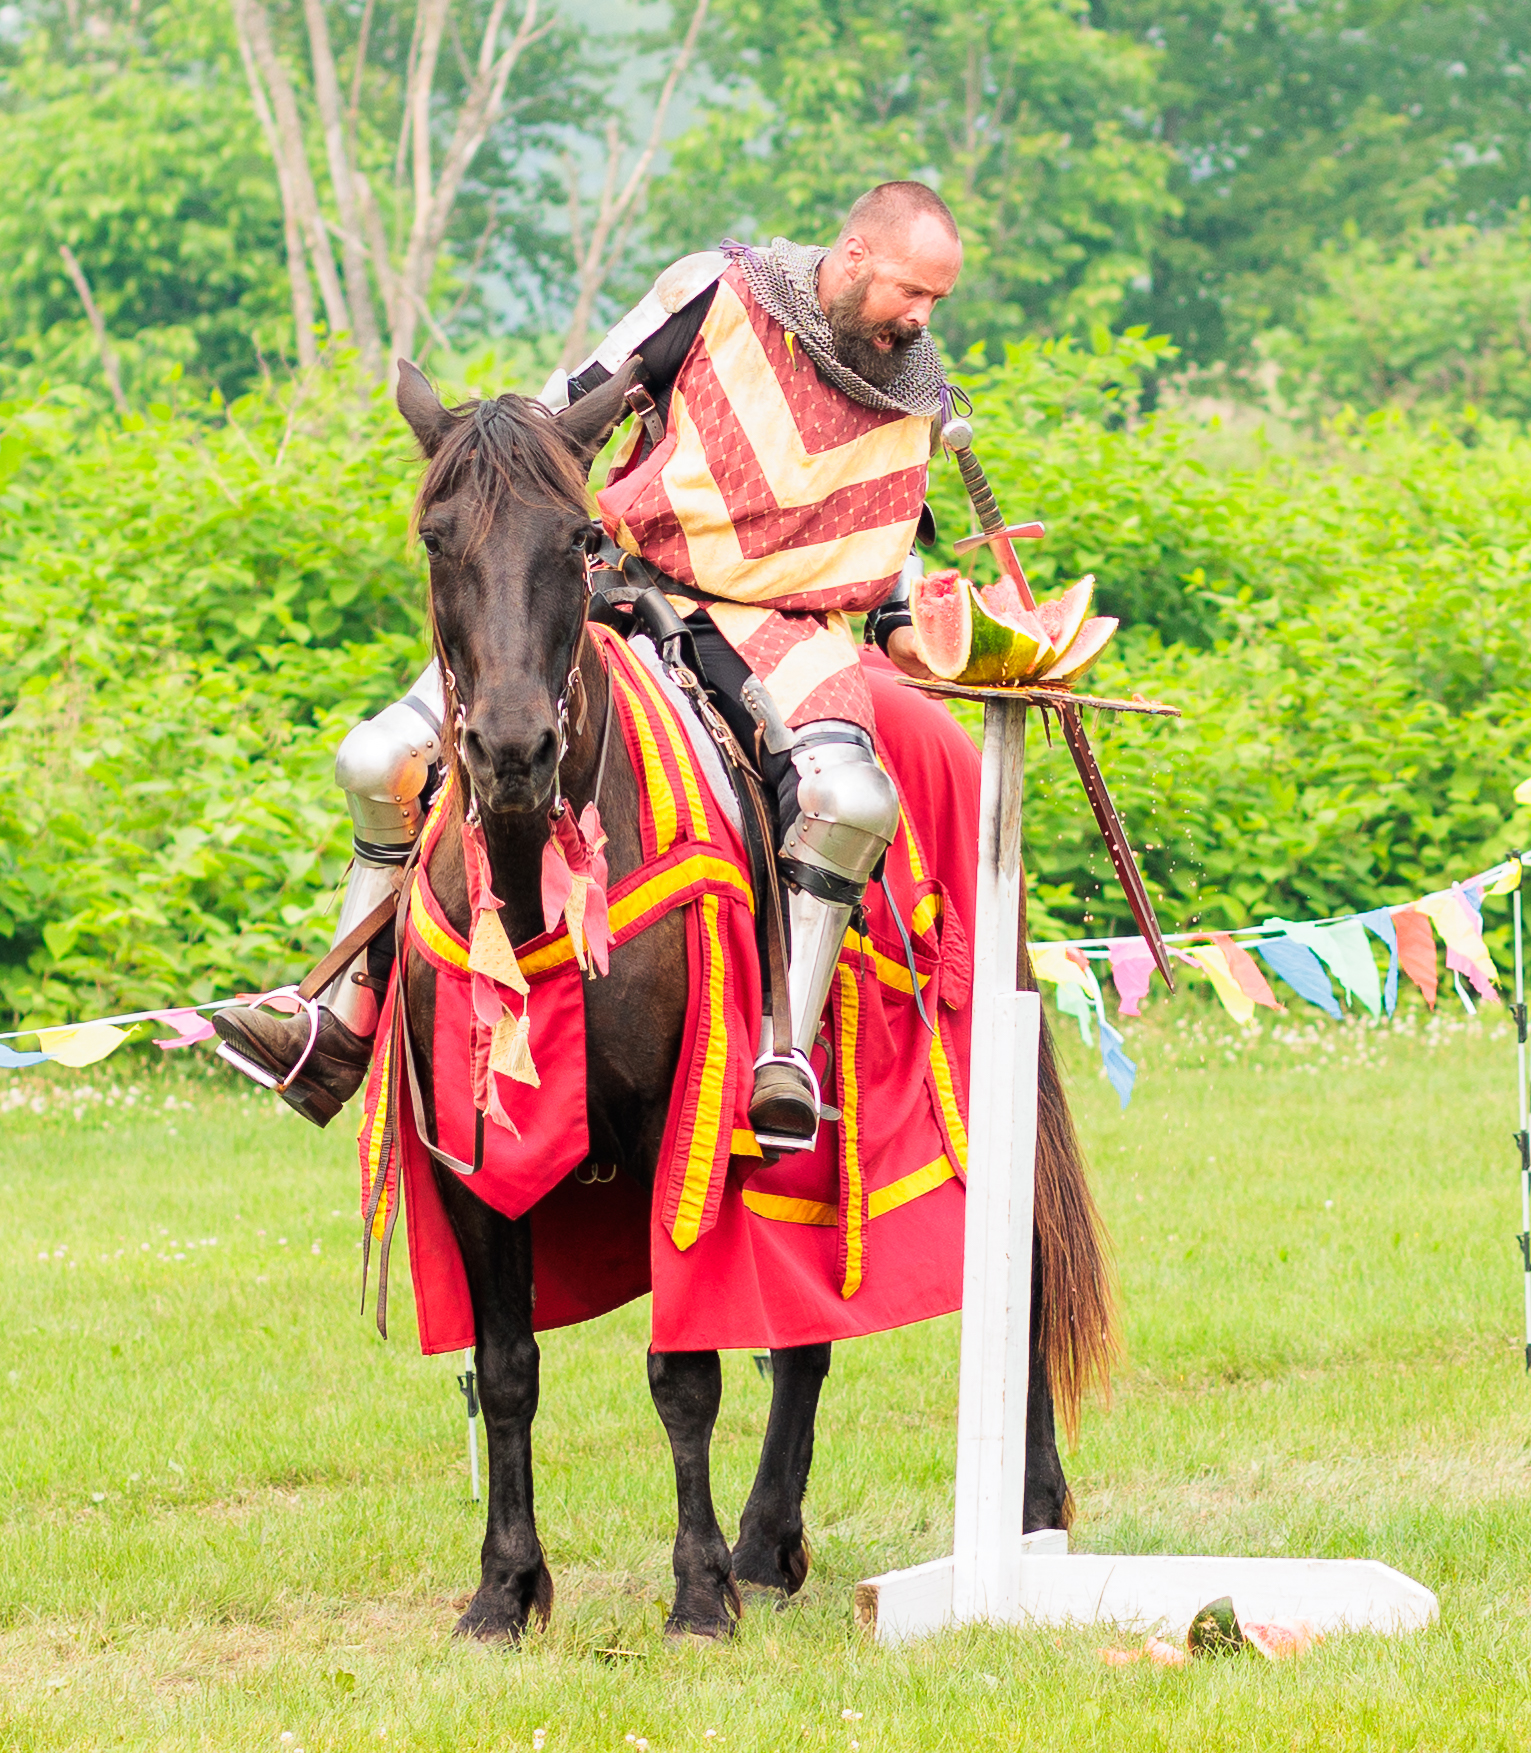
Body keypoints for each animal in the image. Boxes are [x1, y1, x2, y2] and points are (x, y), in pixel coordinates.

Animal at [391, 362, 1108, 1647]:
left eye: (577, 540)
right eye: (436, 537)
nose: (513, 749)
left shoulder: (679, 1134)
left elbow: (684, 1371)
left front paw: (694, 1590)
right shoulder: (471, 1165)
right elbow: (510, 1366)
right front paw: (505, 1588)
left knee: (1009, 1265)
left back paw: (1024, 1518)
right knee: (808, 1337)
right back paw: (770, 1538)